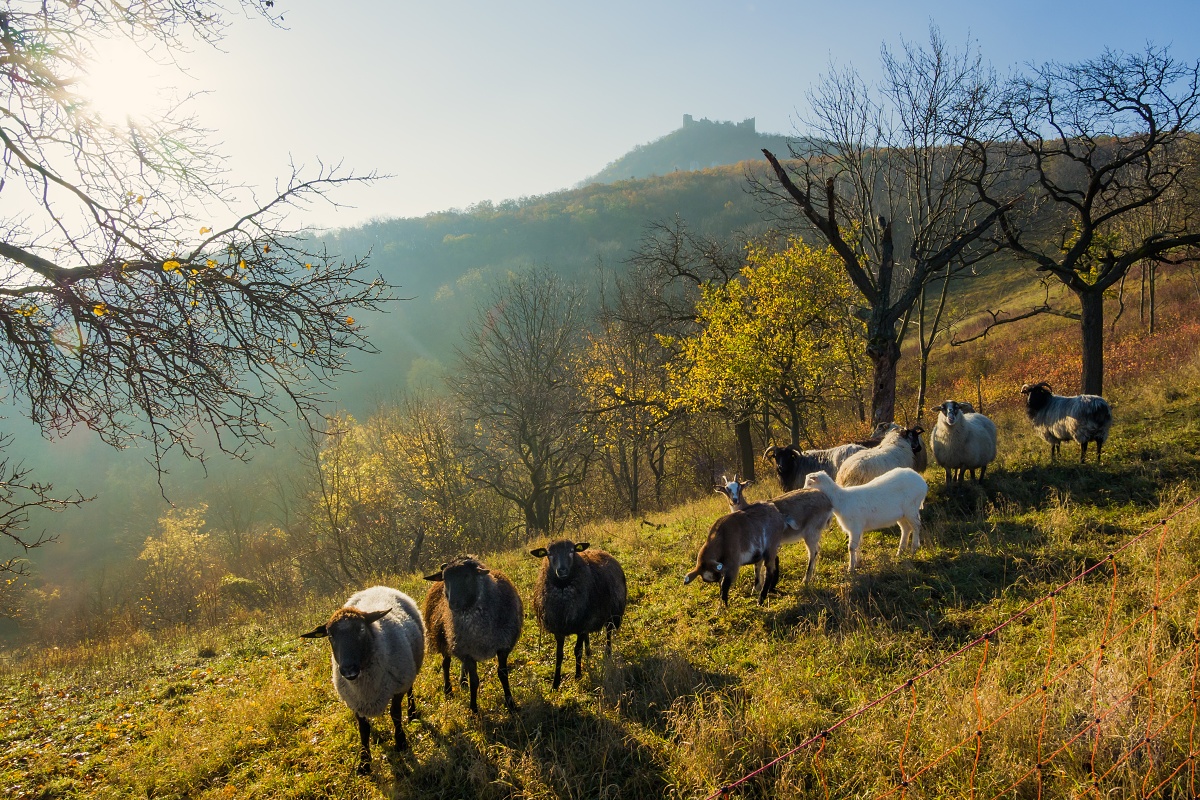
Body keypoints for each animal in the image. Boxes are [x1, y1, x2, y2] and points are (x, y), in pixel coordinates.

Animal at [297, 585, 424, 772]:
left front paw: (401, 742)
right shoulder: (355, 700)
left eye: (361, 630)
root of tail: (377, 587)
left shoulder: (397, 687)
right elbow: (363, 729)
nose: (348, 669)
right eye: (330, 635)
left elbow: (395, 714)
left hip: (411, 667)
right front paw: (364, 763)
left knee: (410, 689)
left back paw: (412, 713)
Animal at [424, 556, 523, 714]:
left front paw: (511, 704)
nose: (453, 603)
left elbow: (503, 674)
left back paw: (462, 682)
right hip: (445, 640)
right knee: (446, 664)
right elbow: (474, 680)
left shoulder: (502, 646)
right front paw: (474, 708)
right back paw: (448, 690)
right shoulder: (468, 652)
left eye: (467, 575)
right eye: (445, 578)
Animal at [532, 542, 628, 690]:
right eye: (549, 554)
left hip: (611, 615)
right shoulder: (559, 629)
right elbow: (559, 655)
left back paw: (607, 653)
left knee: (608, 633)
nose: (562, 570)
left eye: (572, 550)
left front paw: (578, 675)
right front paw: (555, 683)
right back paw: (588, 652)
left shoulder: (583, 626)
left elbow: (577, 650)